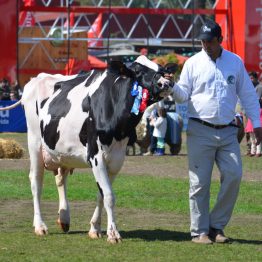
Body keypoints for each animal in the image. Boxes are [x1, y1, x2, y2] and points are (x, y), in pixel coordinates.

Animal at [1, 55, 175, 244]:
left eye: (161, 69)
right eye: (138, 71)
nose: (165, 83)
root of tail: (36, 79)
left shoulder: (116, 159)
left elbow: (102, 194)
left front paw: (95, 229)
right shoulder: (96, 155)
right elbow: (109, 196)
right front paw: (113, 234)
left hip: (61, 153)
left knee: (60, 179)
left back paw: (64, 218)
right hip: (34, 142)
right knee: (36, 182)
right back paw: (40, 226)